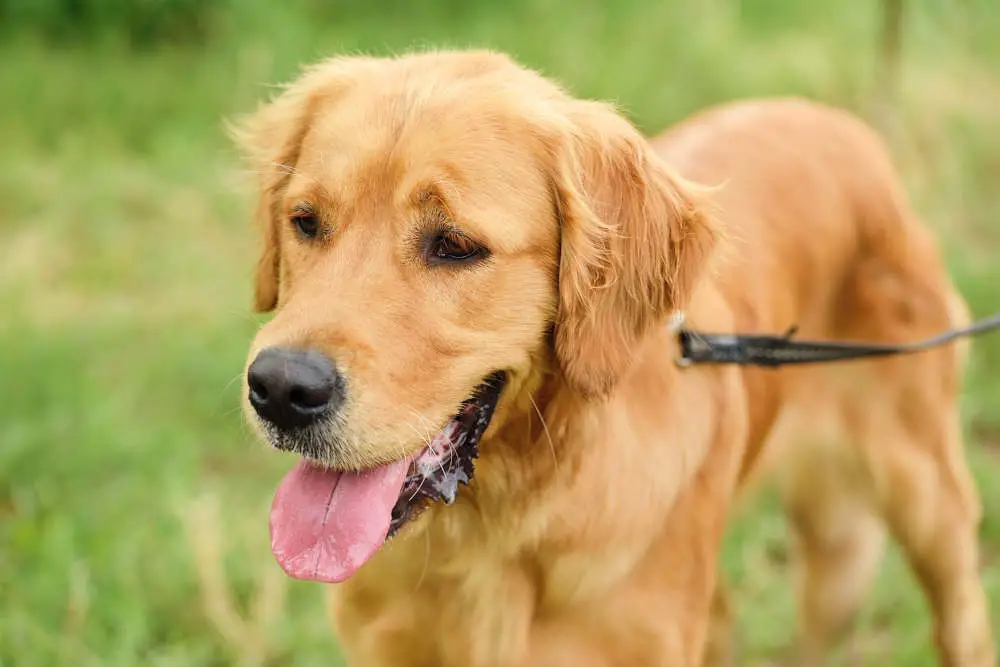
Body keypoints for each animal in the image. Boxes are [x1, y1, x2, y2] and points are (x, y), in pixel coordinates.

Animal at [238, 49, 996, 664]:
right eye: (306, 221)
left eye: (453, 244)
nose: (280, 389)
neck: (496, 526)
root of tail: (848, 128)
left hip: (928, 502)